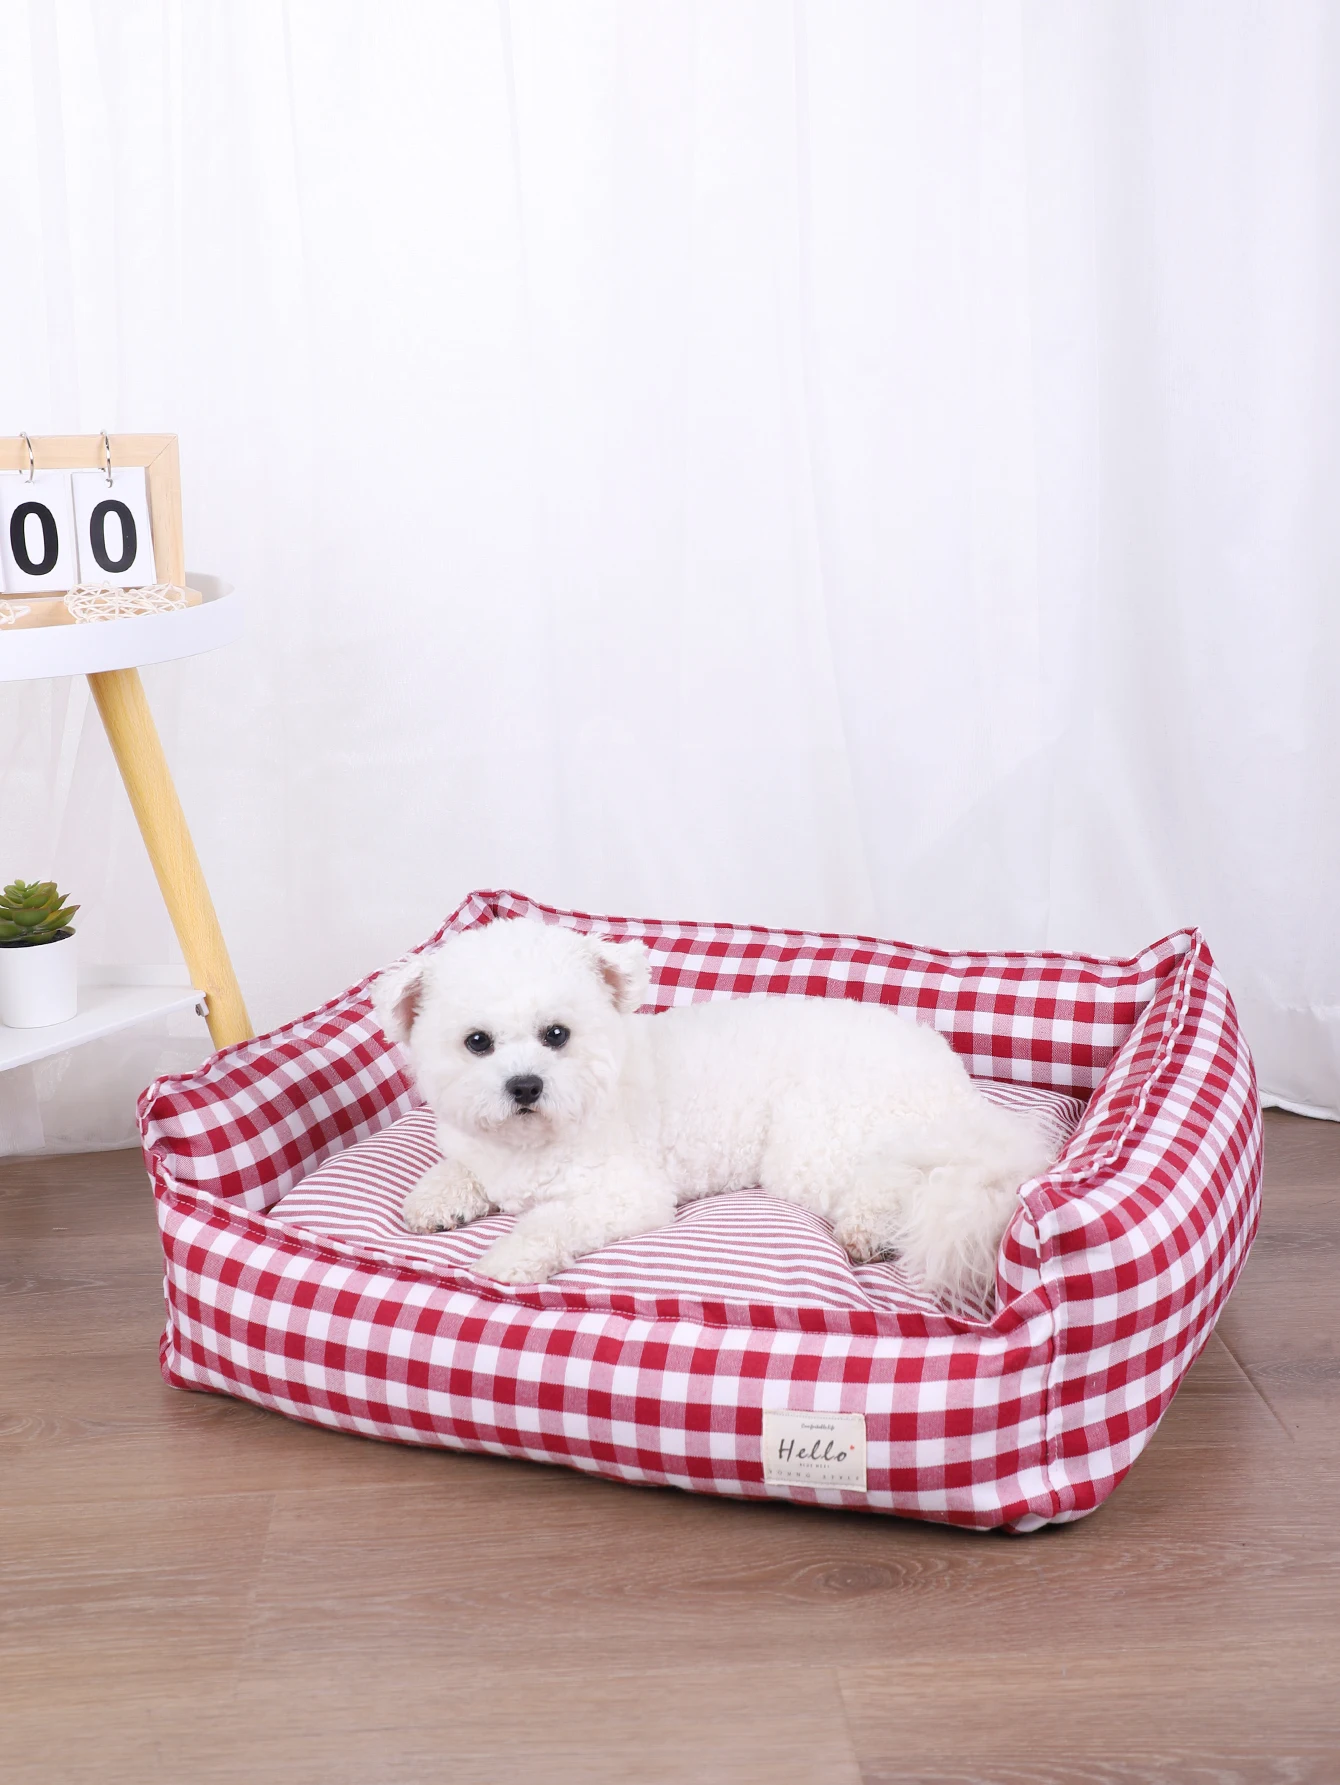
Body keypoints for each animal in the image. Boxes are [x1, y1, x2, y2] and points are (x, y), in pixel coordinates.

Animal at [371, 918, 1054, 1308]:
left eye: (556, 1034)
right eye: (477, 1042)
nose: (524, 1085)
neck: (531, 1140)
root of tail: (954, 1085)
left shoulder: (626, 1195)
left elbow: (548, 1223)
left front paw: (508, 1259)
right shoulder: (479, 1152)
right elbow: (456, 1171)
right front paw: (435, 1201)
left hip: (819, 1142)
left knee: (898, 1181)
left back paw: (867, 1230)